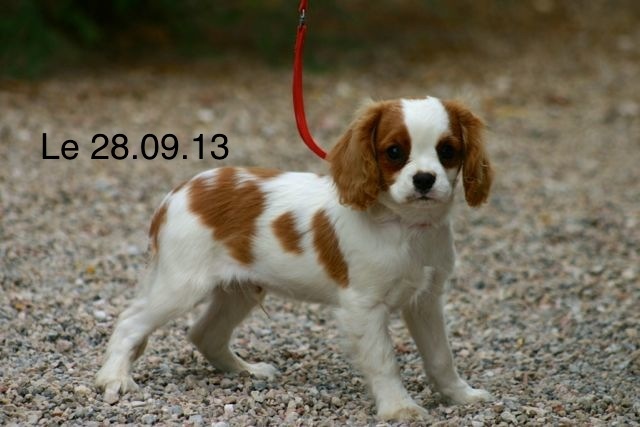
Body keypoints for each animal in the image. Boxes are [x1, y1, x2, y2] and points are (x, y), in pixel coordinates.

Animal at [96, 97, 496, 422]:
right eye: (395, 152)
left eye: (448, 151)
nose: (425, 180)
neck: (406, 226)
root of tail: (179, 193)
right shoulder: (363, 306)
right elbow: (384, 361)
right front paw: (399, 408)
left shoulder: (426, 301)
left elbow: (441, 355)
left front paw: (460, 396)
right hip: (181, 286)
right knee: (130, 321)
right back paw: (114, 378)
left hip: (240, 290)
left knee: (205, 333)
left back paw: (246, 371)